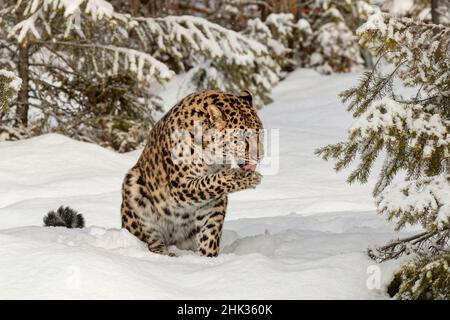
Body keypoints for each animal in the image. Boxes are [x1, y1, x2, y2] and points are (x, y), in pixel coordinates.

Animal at [121, 90, 266, 258]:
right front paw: (249, 178)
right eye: (243, 139)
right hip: (133, 183)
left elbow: (210, 231)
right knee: (152, 240)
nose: (260, 156)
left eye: (260, 133)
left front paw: (208, 258)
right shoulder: (179, 186)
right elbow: (211, 182)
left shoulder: (213, 203)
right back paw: (166, 255)